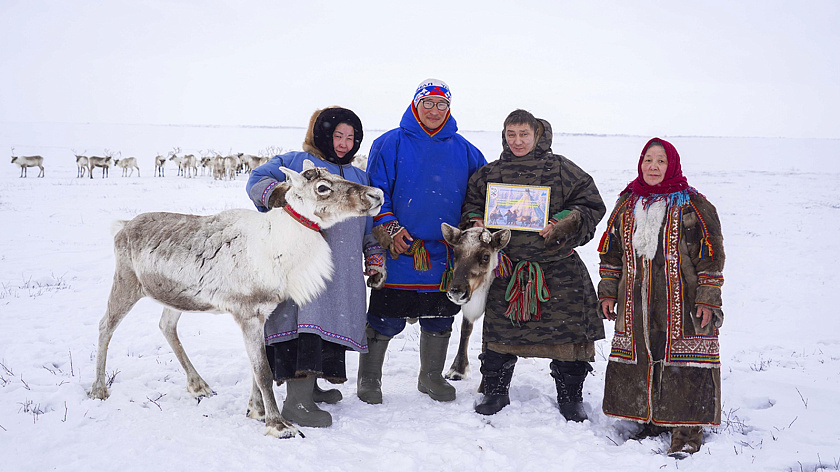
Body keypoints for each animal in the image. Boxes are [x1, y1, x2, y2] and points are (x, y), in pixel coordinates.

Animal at [88, 162, 384, 438]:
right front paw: (278, 425)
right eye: (323, 187)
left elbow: (258, 367)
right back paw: (99, 389)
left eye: (336, 175)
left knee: (166, 326)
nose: (376, 194)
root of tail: (122, 227)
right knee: (105, 325)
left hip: (175, 297)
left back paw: (199, 385)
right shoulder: (248, 313)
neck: (281, 247)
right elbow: (263, 371)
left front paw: (256, 410)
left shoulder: (263, 314)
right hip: (127, 282)